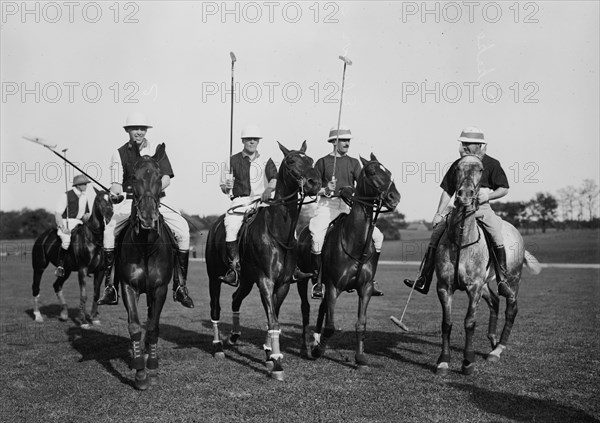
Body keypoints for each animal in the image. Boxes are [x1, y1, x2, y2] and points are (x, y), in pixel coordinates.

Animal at [31, 190, 113, 328]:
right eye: (99, 200)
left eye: (112, 200)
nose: (109, 216)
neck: (94, 238)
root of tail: (42, 236)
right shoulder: (82, 269)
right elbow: (84, 295)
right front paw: (83, 321)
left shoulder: (100, 270)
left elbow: (96, 294)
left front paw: (94, 318)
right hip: (39, 266)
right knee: (36, 287)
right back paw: (38, 316)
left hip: (66, 271)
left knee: (57, 285)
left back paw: (64, 313)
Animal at [205, 142, 322, 380]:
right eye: (291, 161)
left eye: (311, 160)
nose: (314, 183)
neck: (278, 232)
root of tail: (214, 225)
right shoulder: (265, 281)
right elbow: (273, 320)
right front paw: (277, 364)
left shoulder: (283, 283)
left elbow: (273, 317)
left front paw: (269, 354)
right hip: (214, 277)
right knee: (215, 308)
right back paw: (218, 346)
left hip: (246, 280)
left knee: (236, 299)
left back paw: (234, 335)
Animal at [298, 153, 400, 372]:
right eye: (372, 172)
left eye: (388, 172)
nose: (394, 197)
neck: (356, 242)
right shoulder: (334, 286)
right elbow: (330, 326)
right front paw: (318, 350)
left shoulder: (365, 288)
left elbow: (361, 324)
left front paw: (360, 358)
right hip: (303, 279)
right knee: (306, 309)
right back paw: (306, 347)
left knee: (322, 309)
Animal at [434, 154, 540, 376]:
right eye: (457, 169)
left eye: (481, 170)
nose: (465, 195)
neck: (461, 240)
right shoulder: (444, 287)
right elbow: (447, 323)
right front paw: (443, 361)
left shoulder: (473, 287)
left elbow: (469, 322)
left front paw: (467, 362)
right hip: (485, 284)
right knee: (495, 301)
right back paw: (492, 340)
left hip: (513, 279)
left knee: (511, 308)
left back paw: (497, 350)